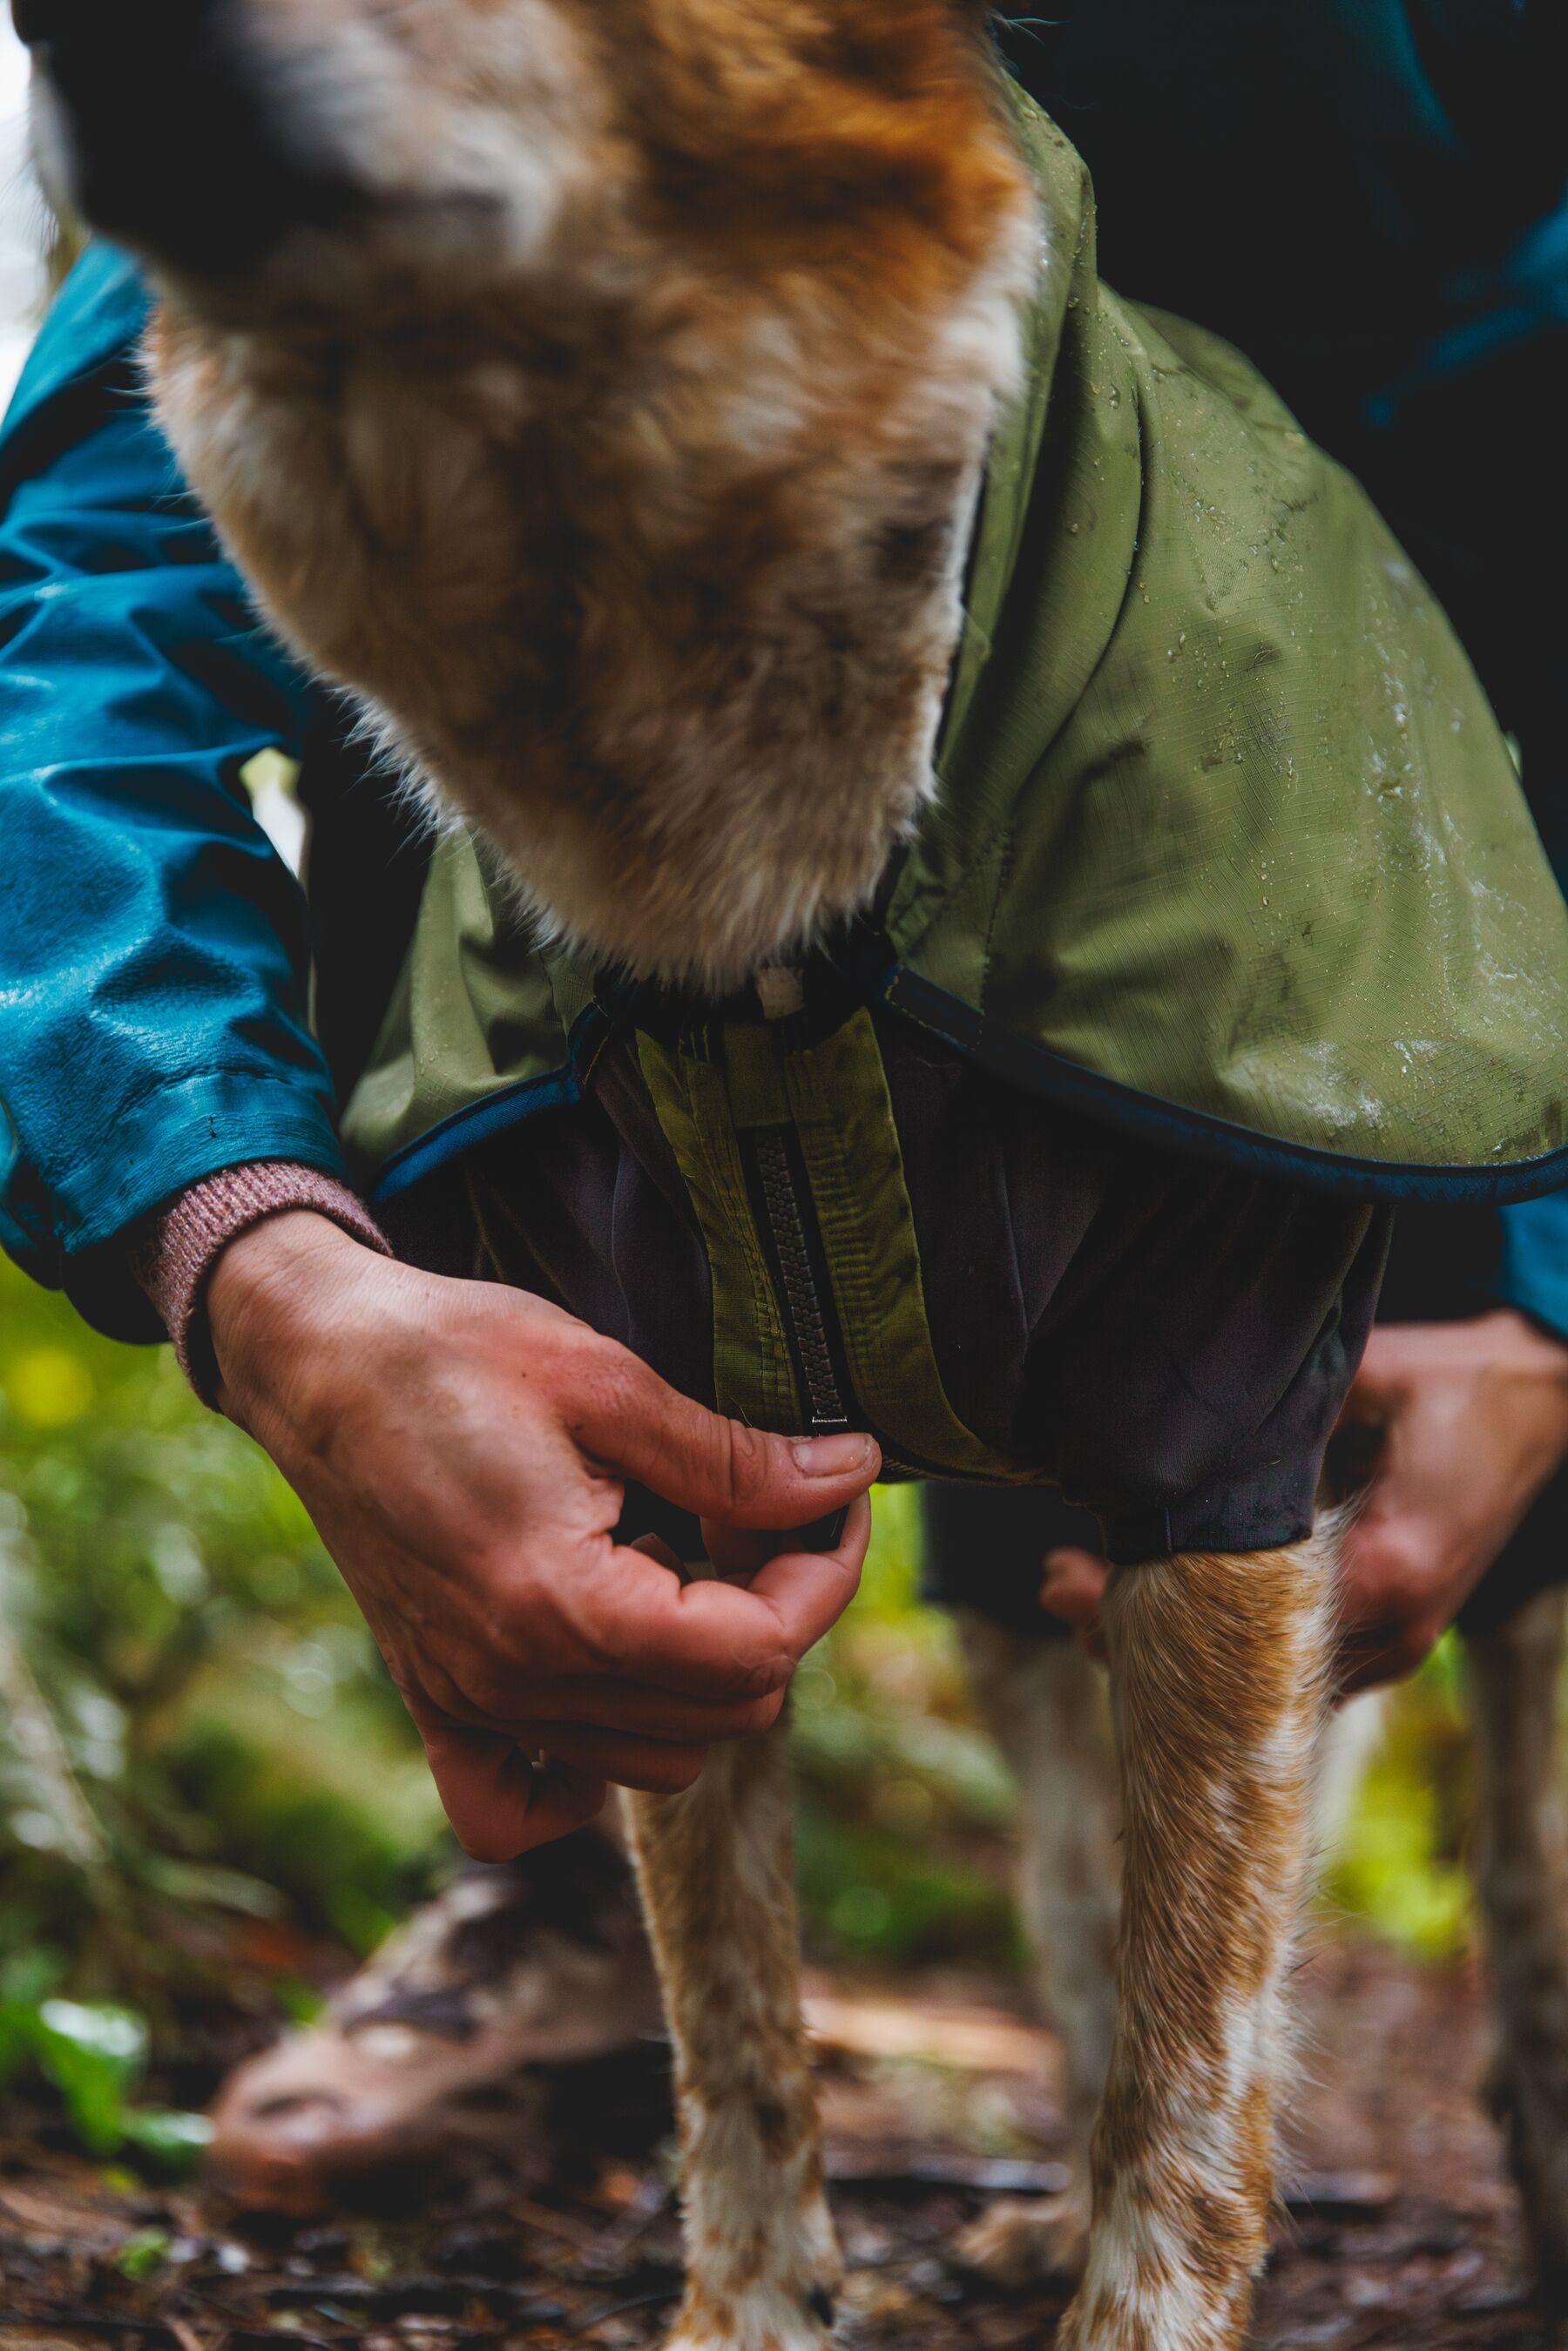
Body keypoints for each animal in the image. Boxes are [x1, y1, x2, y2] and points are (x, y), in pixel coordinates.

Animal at [21, 0, 1568, 2341]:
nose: (77, 39)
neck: (756, 941)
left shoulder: (1227, 1467)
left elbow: (1204, 2059)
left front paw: (1142, 2286)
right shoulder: (651, 1489)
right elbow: (743, 2023)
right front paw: (759, 2300)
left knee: (1498, 1908)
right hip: (1026, 1567)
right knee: (1078, 1897)